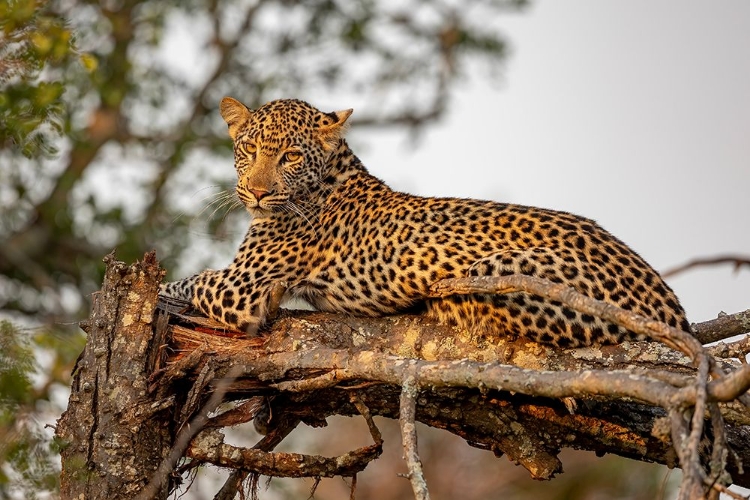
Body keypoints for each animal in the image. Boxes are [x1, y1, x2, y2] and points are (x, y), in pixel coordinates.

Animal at [162, 97, 692, 348]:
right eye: (248, 150)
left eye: (290, 156)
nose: (256, 191)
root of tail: (672, 307)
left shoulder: (243, 289)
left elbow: (188, 280)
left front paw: (160, 290)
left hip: (498, 271)